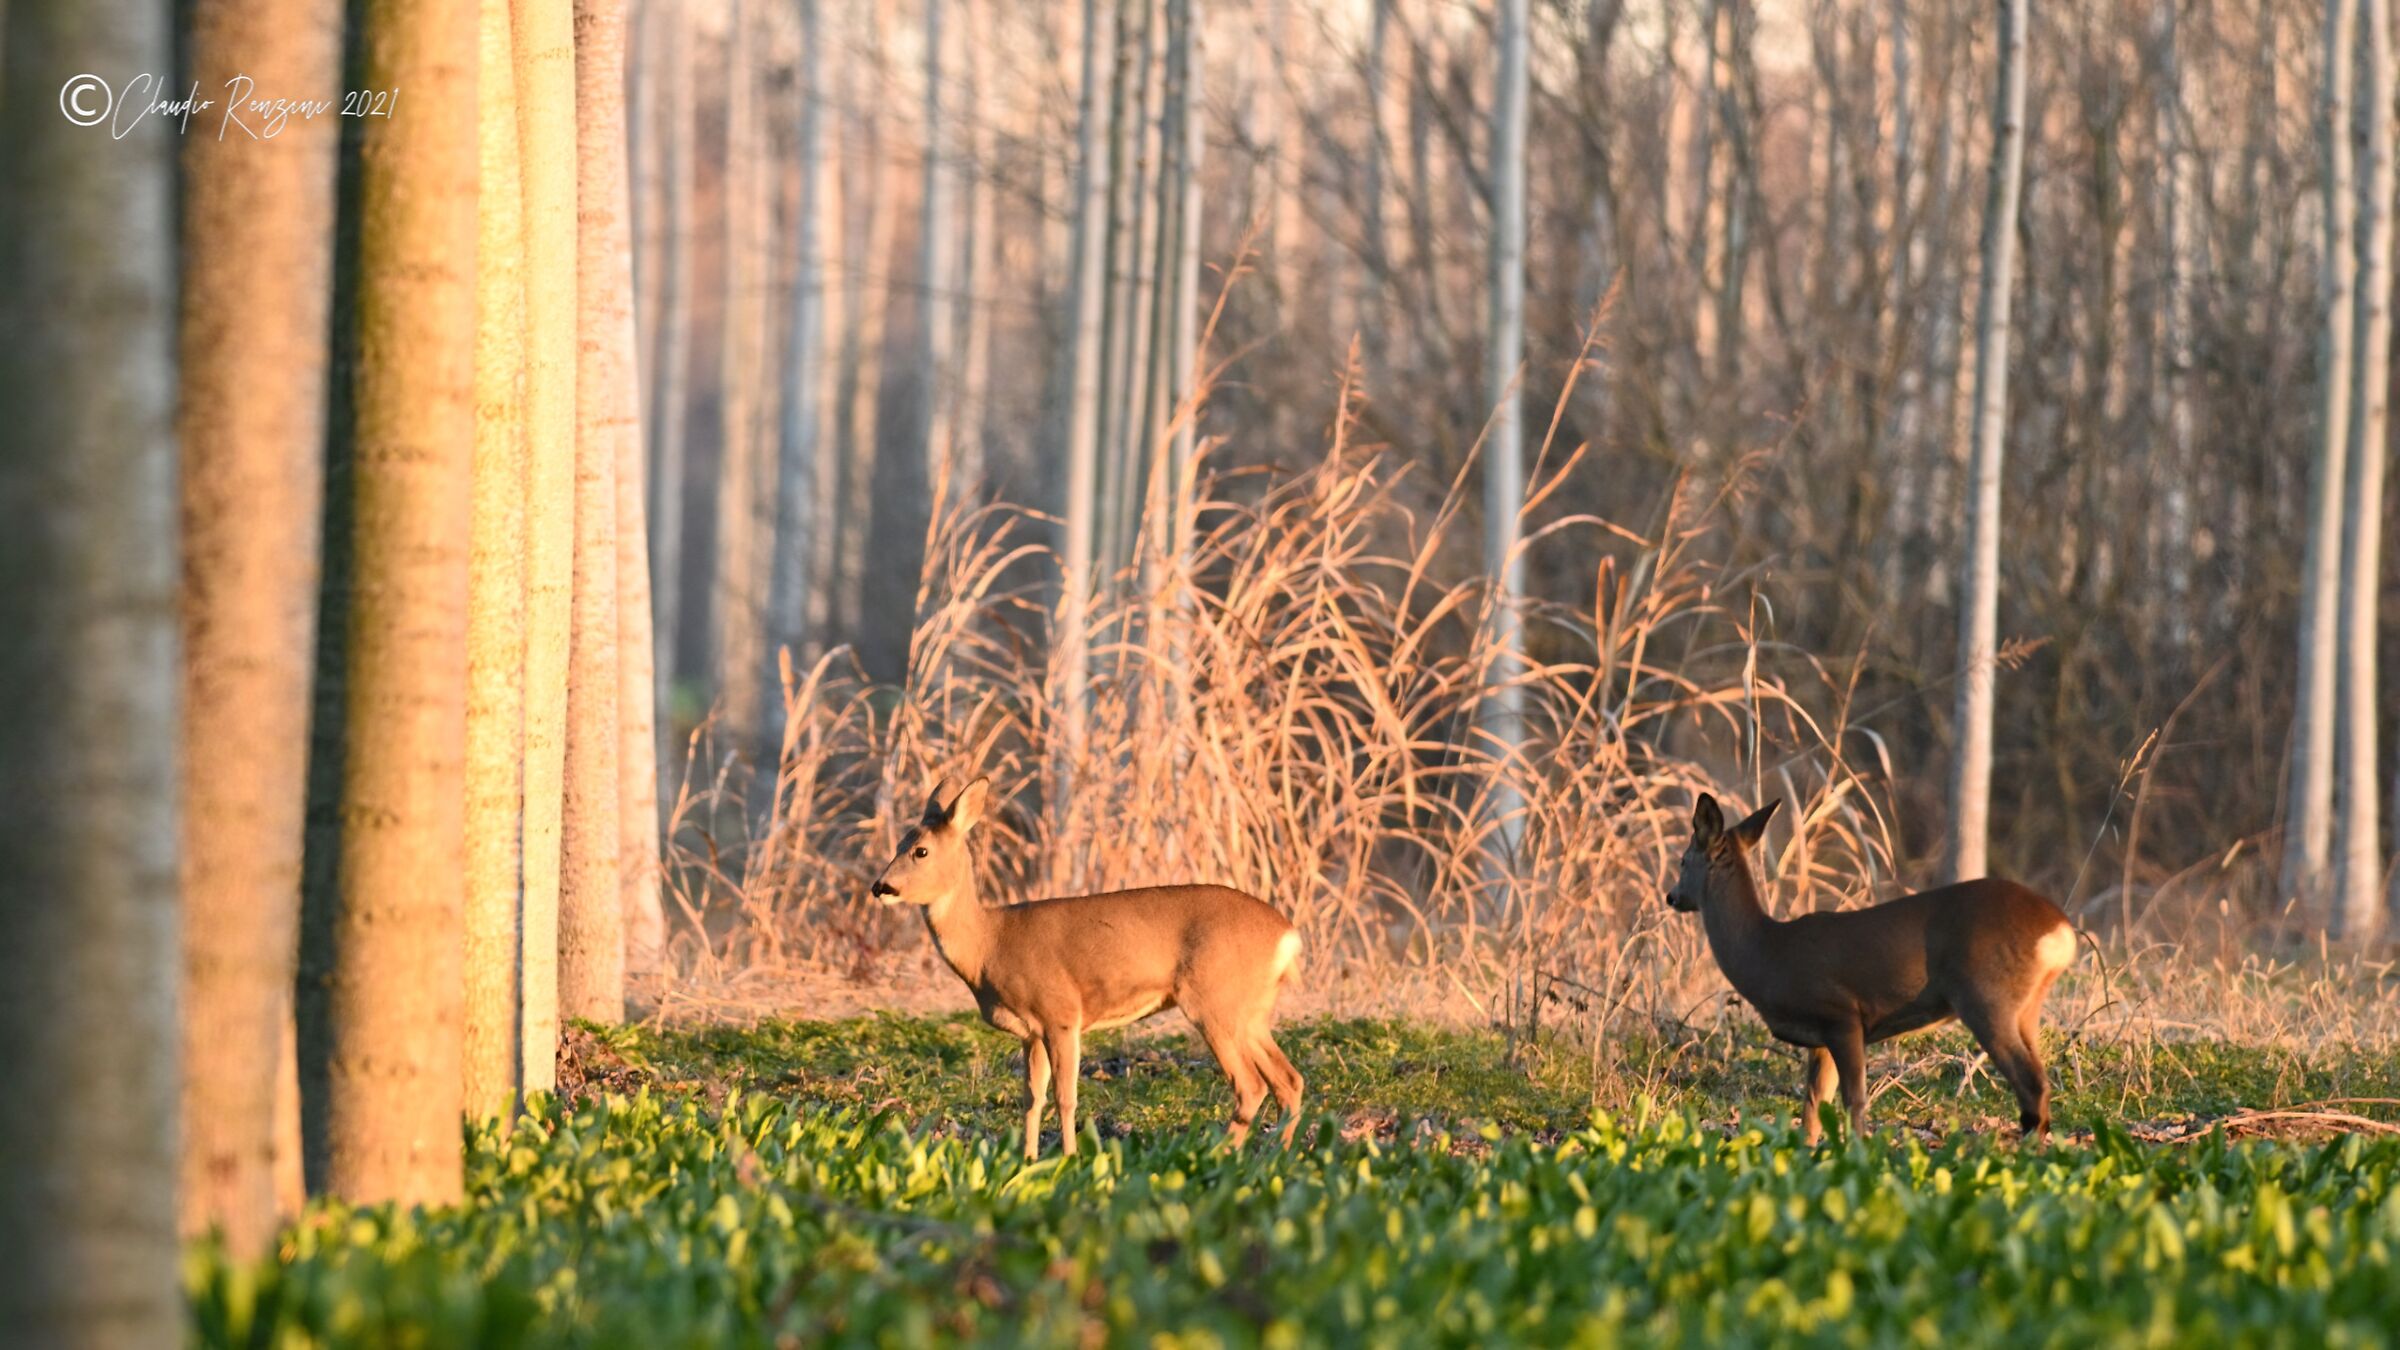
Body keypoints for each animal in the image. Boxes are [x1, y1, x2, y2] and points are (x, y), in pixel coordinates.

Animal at [869, 775, 1306, 1159]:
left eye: (920, 851)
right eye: (898, 844)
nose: (880, 887)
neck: (990, 942)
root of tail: (1288, 935)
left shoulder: (1060, 1013)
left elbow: (1065, 1097)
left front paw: (1068, 1157)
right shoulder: (1031, 1032)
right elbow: (1031, 1097)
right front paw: (1027, 1159)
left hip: (1213, 1000)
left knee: (1250, 1086)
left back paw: (1222, 1156)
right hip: (1250, 1011)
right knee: (1289, 1079)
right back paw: (1275, 1157)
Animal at [1664, 794, 2078, 1143]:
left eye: (1683, 860)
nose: (1671, 896)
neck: (1767, 951)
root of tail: (2060, 930)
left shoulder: (1841, 1014)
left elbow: (1854, 1102)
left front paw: (1858, 1153)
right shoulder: (1820, 1039)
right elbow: (1813, 1108)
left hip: (1987, 996)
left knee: (2031, 1085)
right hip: (2027, 1005)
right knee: (2038, 1082)